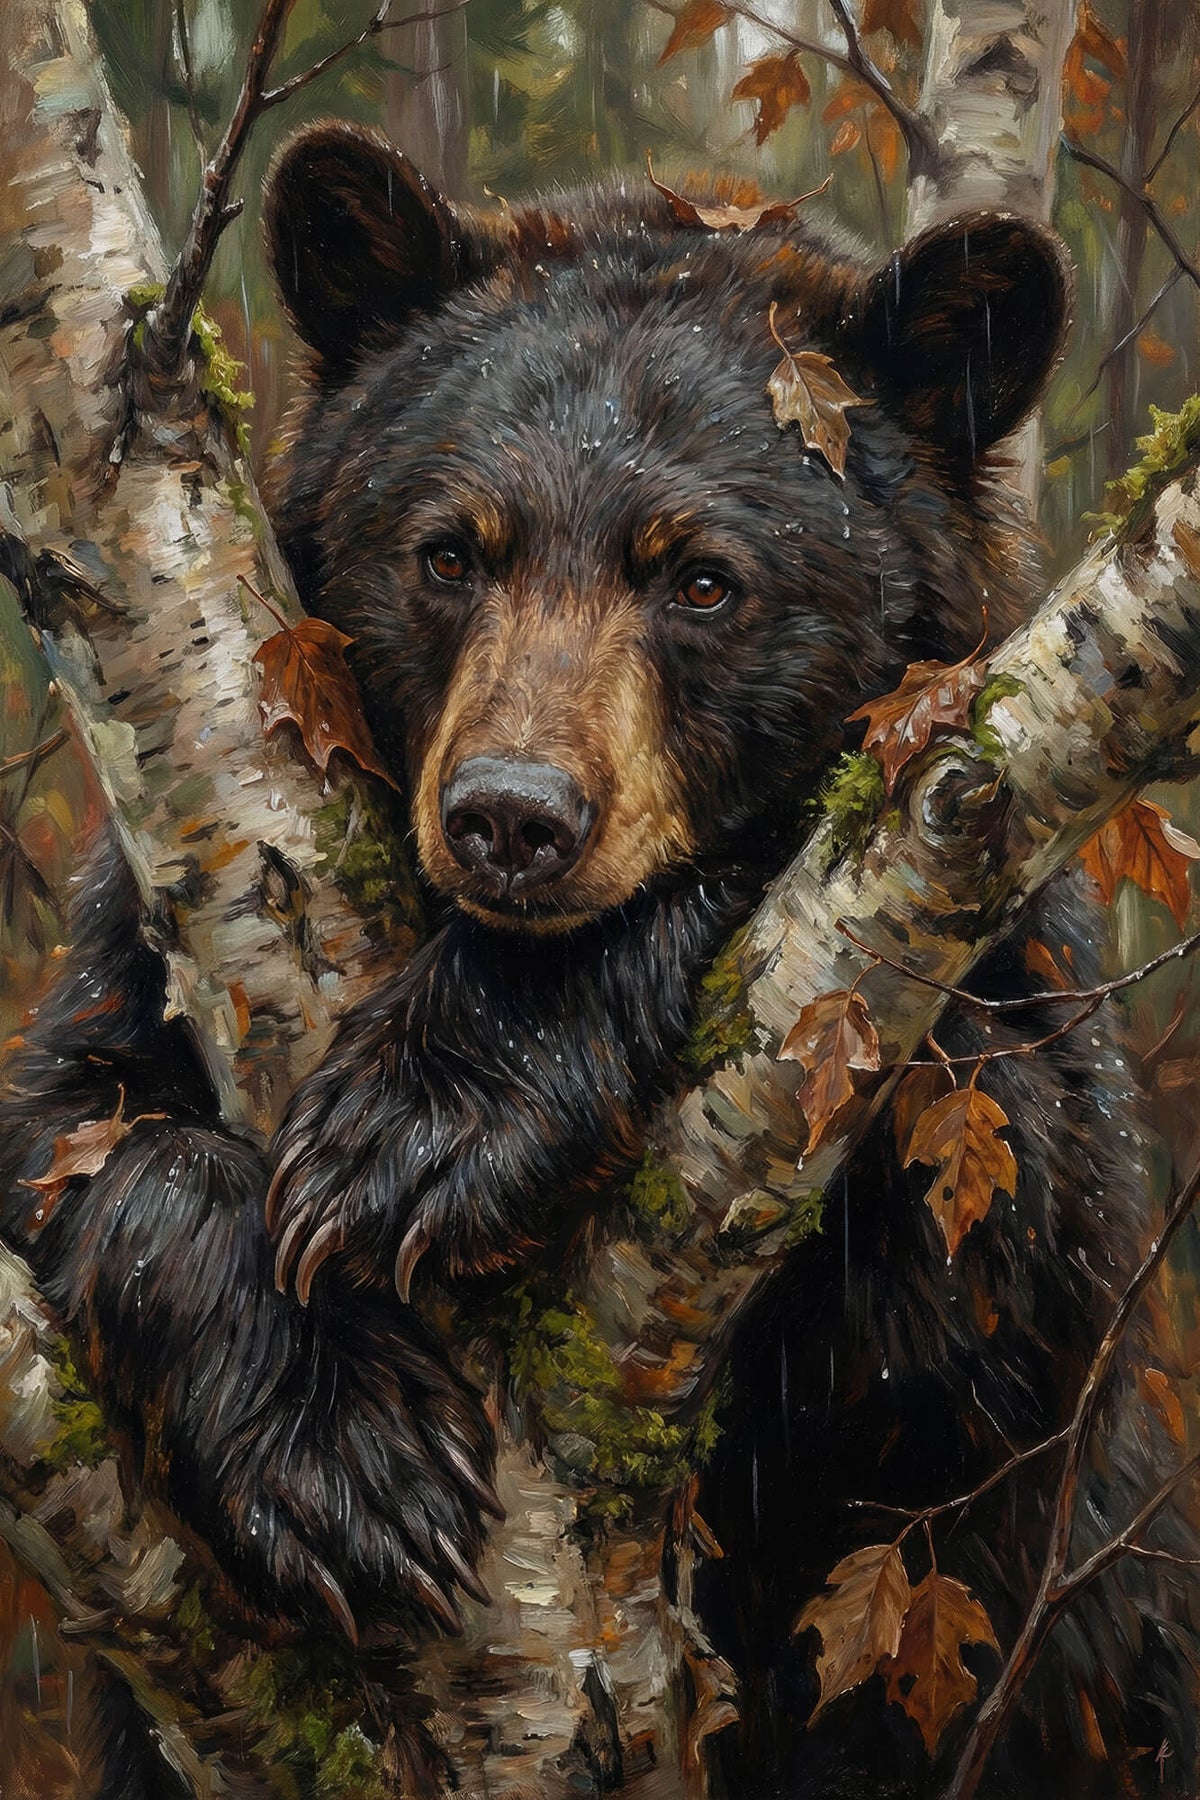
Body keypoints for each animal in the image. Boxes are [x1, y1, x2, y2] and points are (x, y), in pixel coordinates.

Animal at [1, 121, 1194, 1797]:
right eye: (450, 555)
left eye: (700, 578)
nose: (512, 816)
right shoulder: (138, 948)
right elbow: (78, 1137)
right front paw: (351, 1460)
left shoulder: (1001, 1015)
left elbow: (966, 1268)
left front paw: (427, 1121)